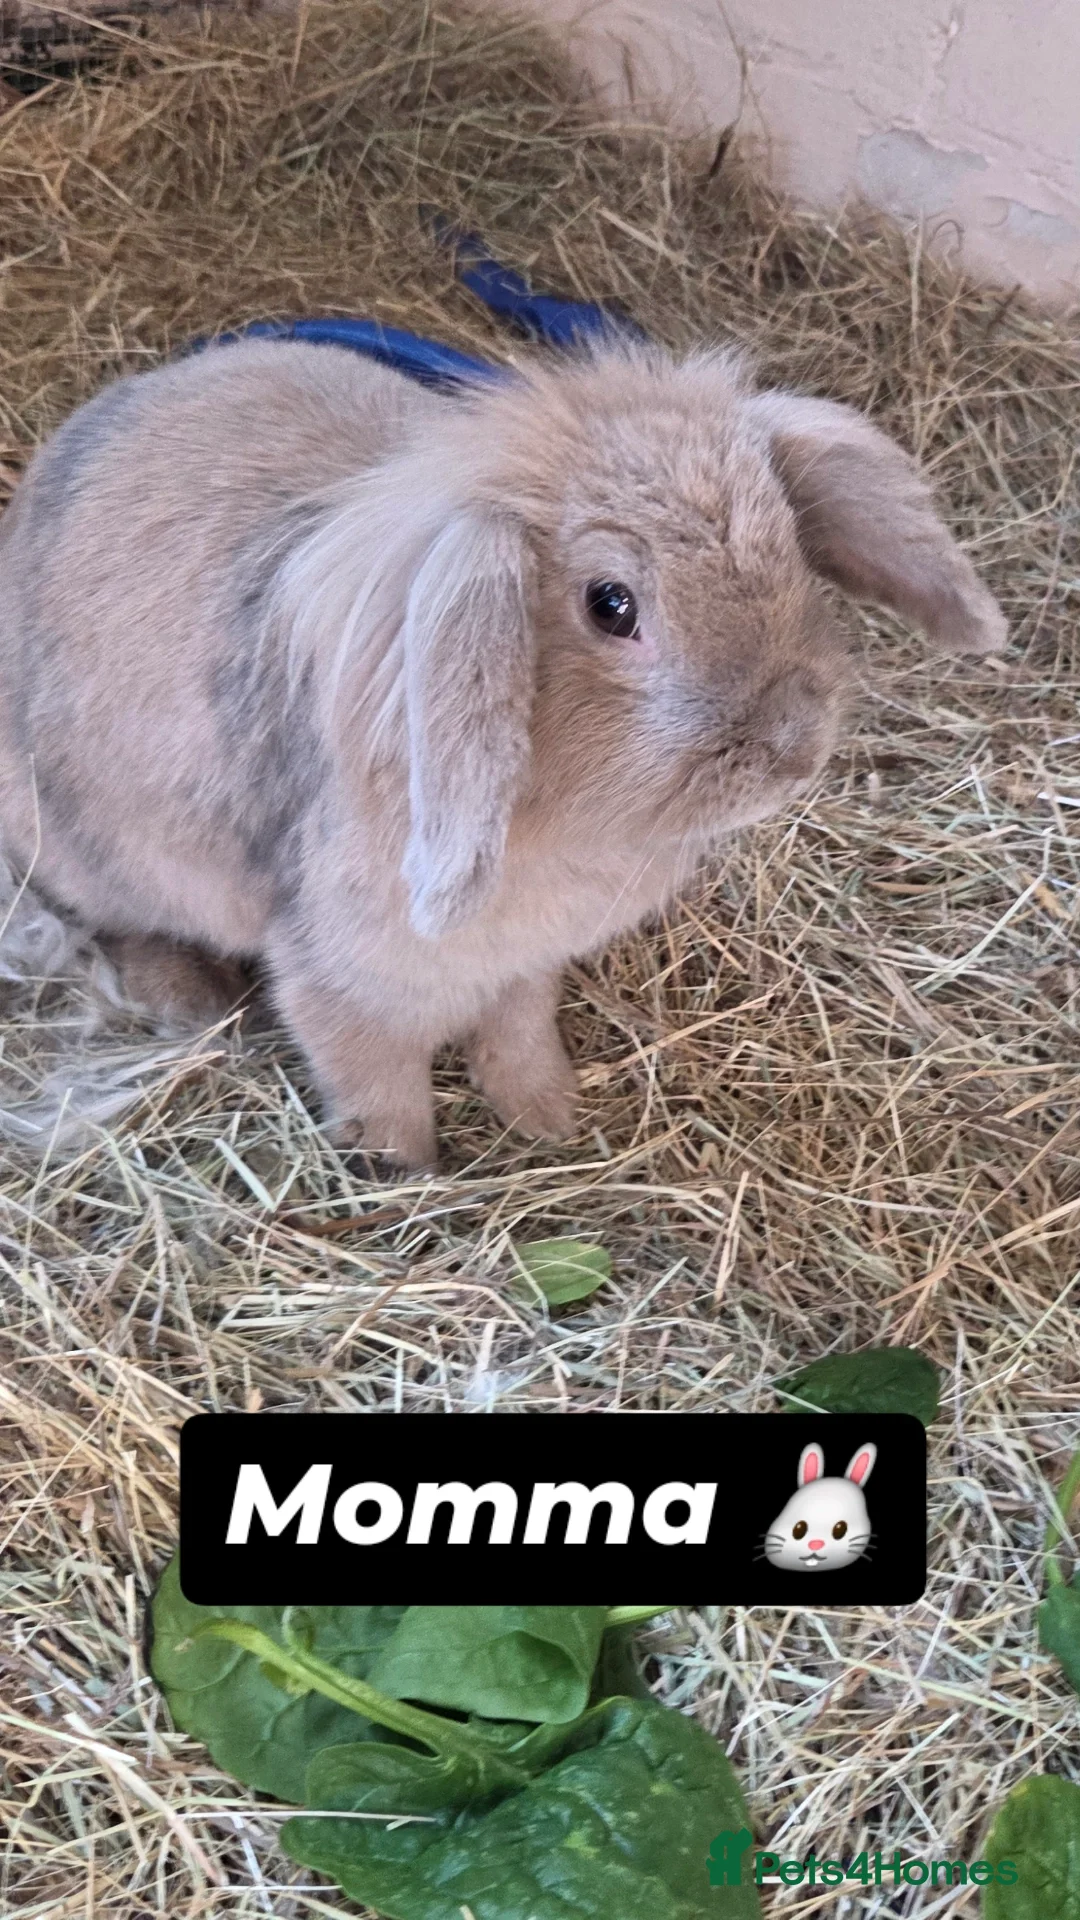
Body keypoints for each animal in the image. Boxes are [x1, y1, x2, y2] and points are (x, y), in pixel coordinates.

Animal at [0, 336, 1006, 1170]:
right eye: (612, 605)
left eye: (791, 545)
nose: (795, 747)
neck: (559, 828)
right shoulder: (341, 980)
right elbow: (375, 1079)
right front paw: (407, 1173)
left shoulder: (525, 968)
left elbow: (518, 1035)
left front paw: (550, 1119)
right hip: (78, 845)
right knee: (120, 918)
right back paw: (191, 997)